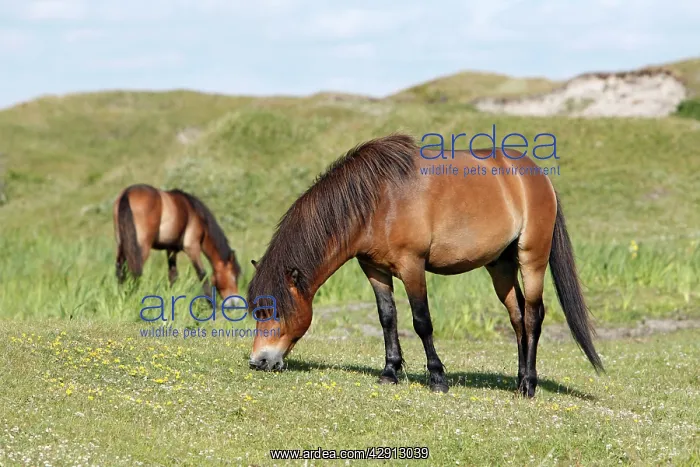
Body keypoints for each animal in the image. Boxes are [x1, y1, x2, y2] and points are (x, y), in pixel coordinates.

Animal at [112, 183, 242, 300]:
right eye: (234, 276)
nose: (234, 303)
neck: (195, 213)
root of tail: (127, 193)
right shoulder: (192, 247)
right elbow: (202, 275)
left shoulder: (171, 250)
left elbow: (173, 276)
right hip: (140, 248)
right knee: (135, 272)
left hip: (122, 246)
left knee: (121, 271)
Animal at [246, 133, 603, 396]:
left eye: (273, 310)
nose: (258, 361)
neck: (378, 200)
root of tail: (537, 178)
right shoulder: (374, 270)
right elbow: (387, 318)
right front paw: (390, 371)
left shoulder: (412, 266)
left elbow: (422, 322)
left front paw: (437, 378)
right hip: (500, 266)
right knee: (517, 317)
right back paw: (518, 380)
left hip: (532, 258)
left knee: (532, 316)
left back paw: (529, 385)